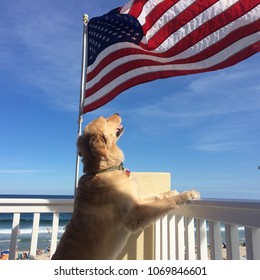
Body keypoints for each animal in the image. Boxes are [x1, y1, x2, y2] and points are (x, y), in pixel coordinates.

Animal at [51, 112, 200, 260]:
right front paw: (187, 194)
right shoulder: (134, 214)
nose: (117, 112)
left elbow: (158, 196)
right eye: (106, 120)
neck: (104, 169)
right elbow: (165, 202)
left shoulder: (136, 200)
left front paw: (172, 192)